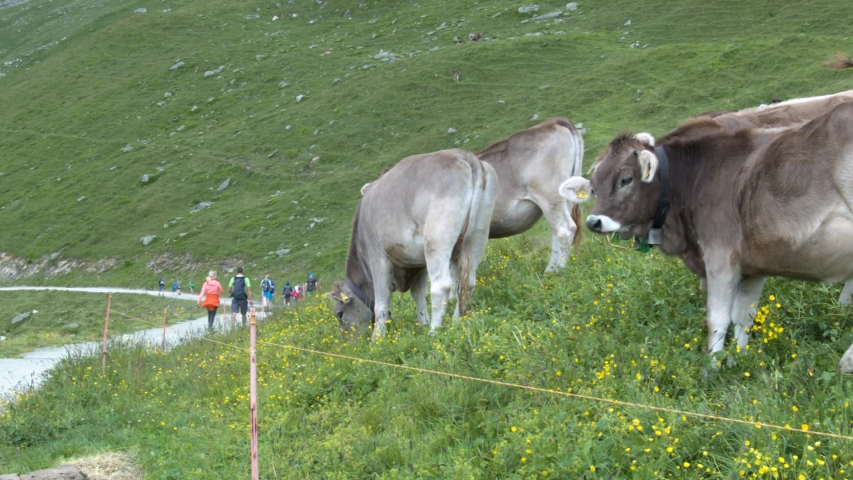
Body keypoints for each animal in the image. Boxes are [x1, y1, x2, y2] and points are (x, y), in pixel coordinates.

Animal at [328, 149, 497, 341]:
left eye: (339, 314)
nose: (349, 341)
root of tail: (462, 155)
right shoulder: (417, 263)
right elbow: (419, 294)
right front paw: (422, 322)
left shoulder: (378, 258)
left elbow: (381, 304)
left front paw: (377, 339)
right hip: (478, 233)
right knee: (468, 282)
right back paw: (456, 322)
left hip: (436, 238)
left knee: (441, 286)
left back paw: (434, 332)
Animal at [569, 101, 853, 372]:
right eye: (594, 186)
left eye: (626, 179)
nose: (594, 222)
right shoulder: (754, 267)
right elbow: (743, 317)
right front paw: (738, 361)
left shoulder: (720, 256)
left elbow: (717, 319)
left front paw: (711, 370)